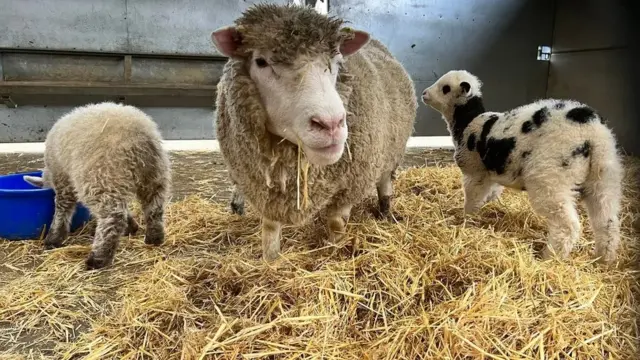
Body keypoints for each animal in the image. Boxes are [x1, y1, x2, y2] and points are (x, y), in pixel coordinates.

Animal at [212, 3, 418, 262]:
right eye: (260, 62)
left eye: (337, 62)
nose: (331, 124)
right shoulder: (265, 190)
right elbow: (270, 228)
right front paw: (271, 261)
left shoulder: (350, 183)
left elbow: (337, 223)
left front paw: (335, 253)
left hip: (389, 151)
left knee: (384, 183)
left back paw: (385, 211)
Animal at [422, 69, 624, 264]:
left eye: (446, 88)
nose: (424, 93)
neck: (468, 121)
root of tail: (592, 132)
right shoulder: (492, 173)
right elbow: (492, 192)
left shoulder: (475, 172)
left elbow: (472, 199)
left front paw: (467, 220)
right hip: (604, 176)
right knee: (607, 222)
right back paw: (603, 259)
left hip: (551, 176)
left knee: (567, 225)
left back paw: (549, 257)